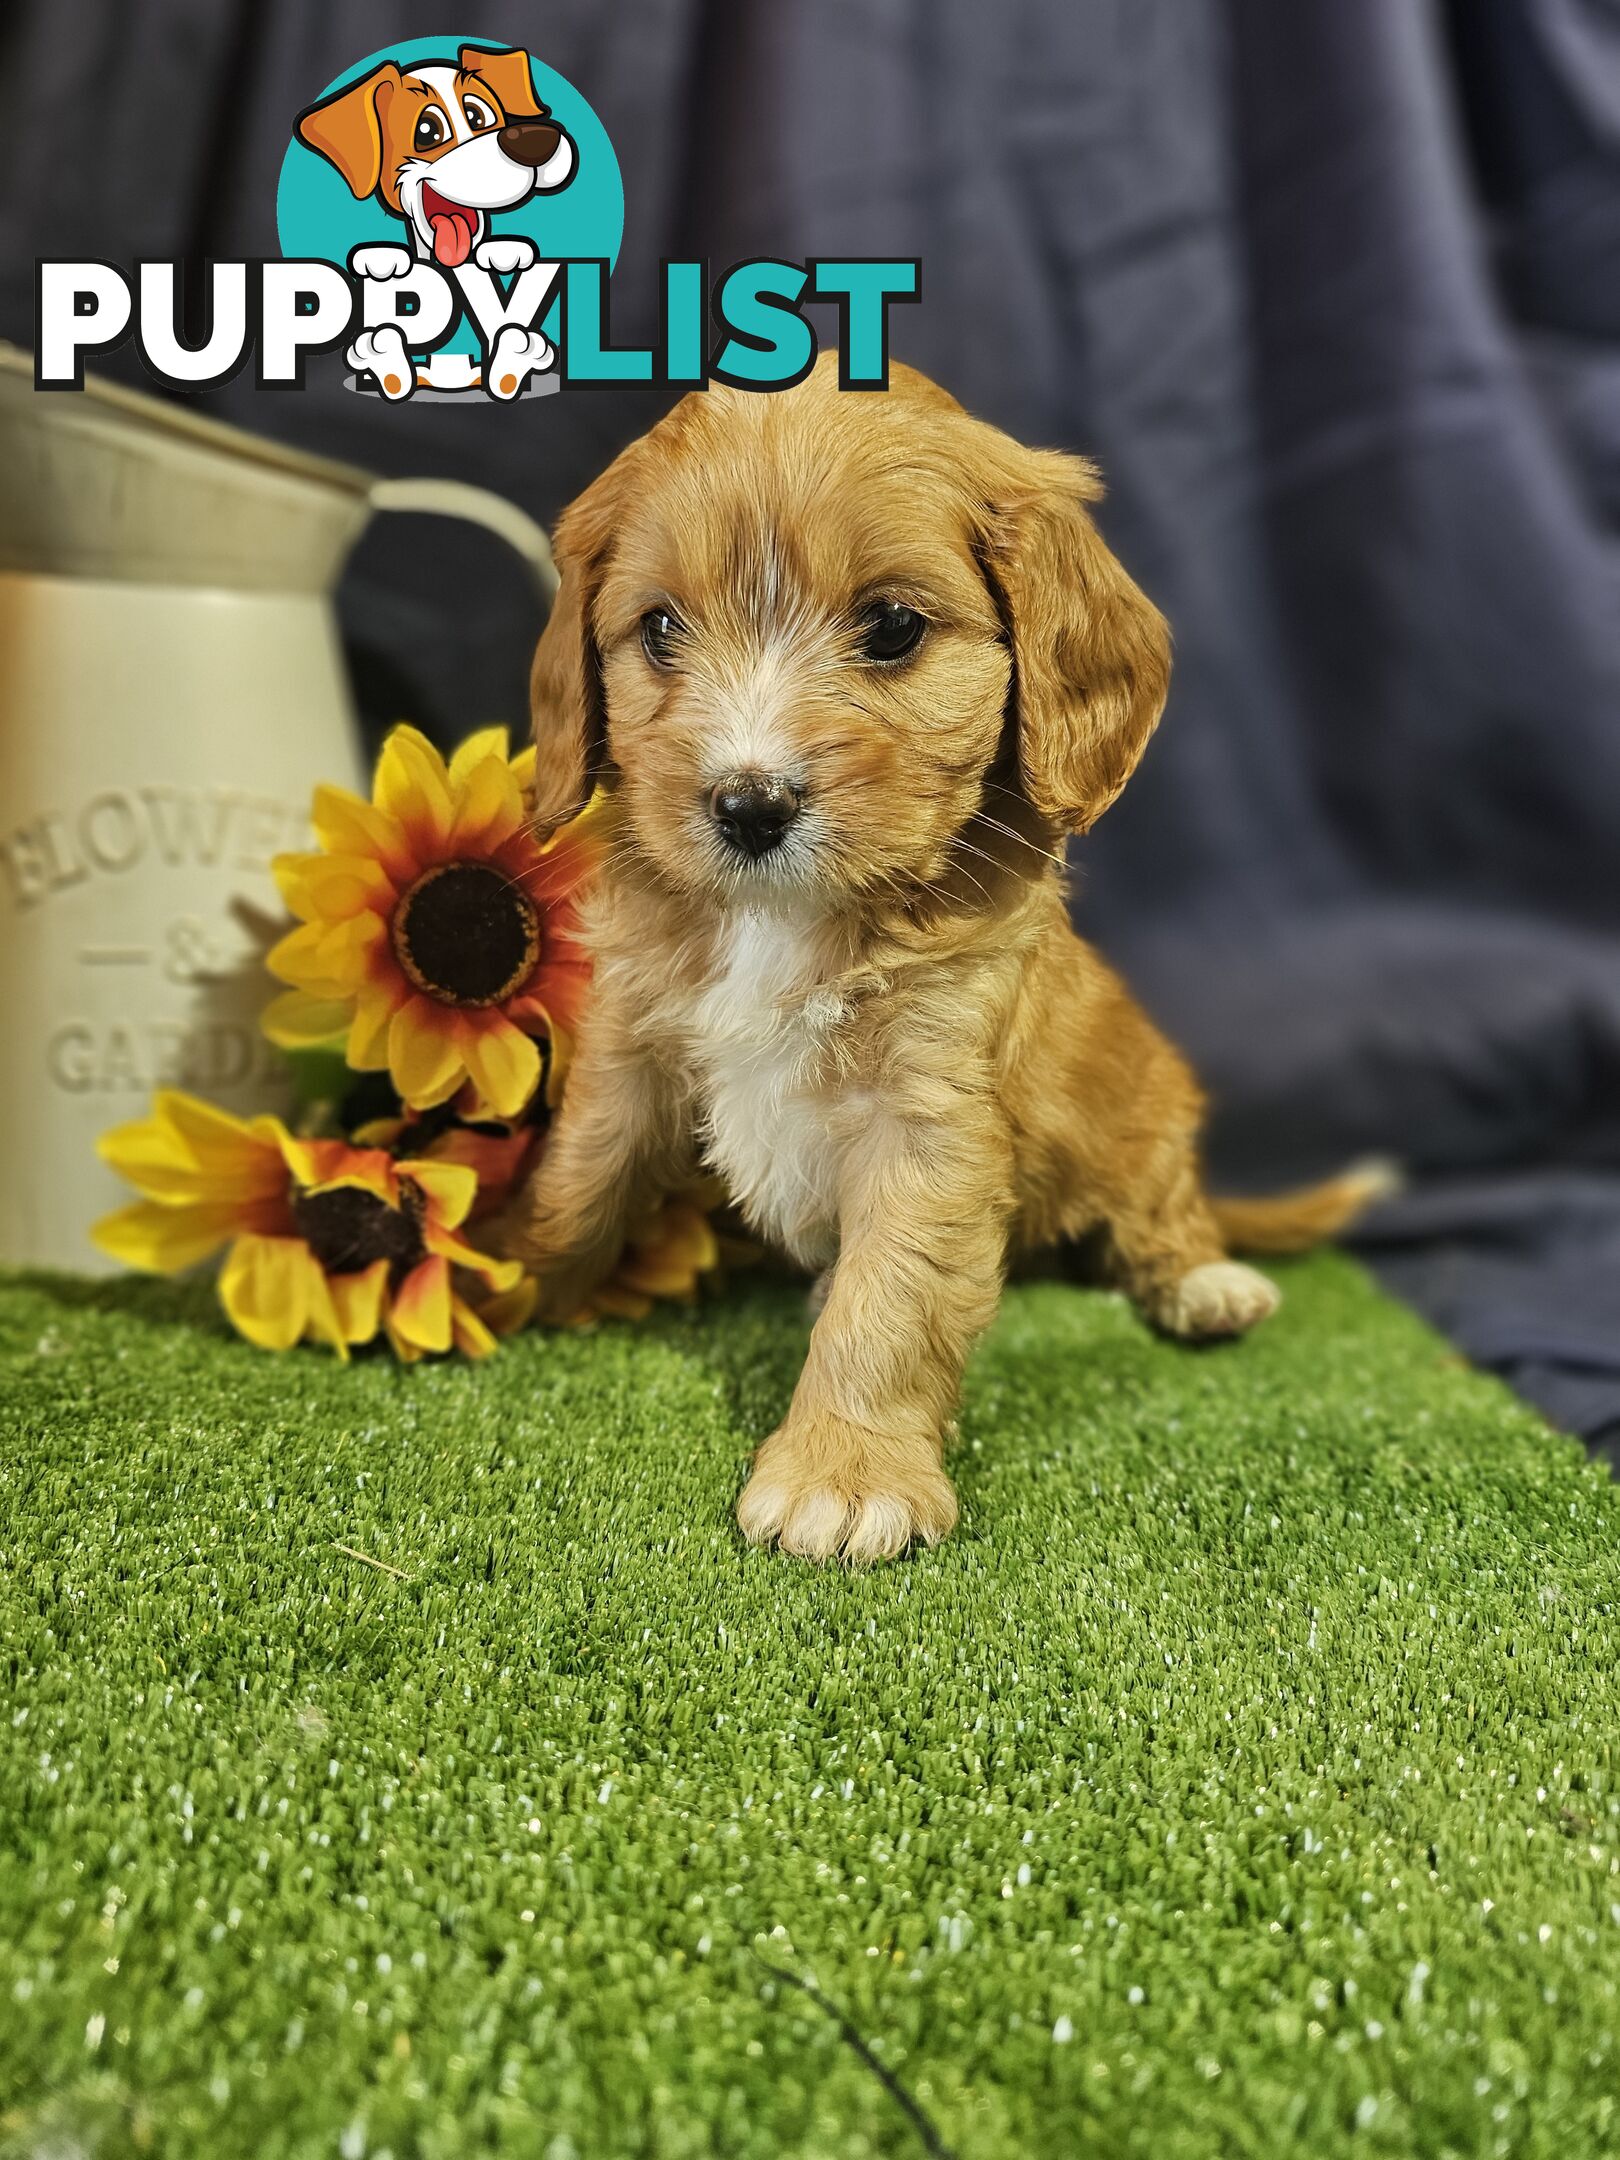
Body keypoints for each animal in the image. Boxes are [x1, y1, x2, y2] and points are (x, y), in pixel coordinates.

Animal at [501, 362, 1391, 1563]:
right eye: (660, 629)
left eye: (891, 627)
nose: (747, 804)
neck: (780, 917)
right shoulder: (632, 1048)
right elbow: (582, 1178)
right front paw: (505, 1276)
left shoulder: (929, 1109)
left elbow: (891, 1298)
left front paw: (843, 1472)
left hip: (1147, 1115)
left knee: (1159, 1215)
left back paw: (1202, 1283)